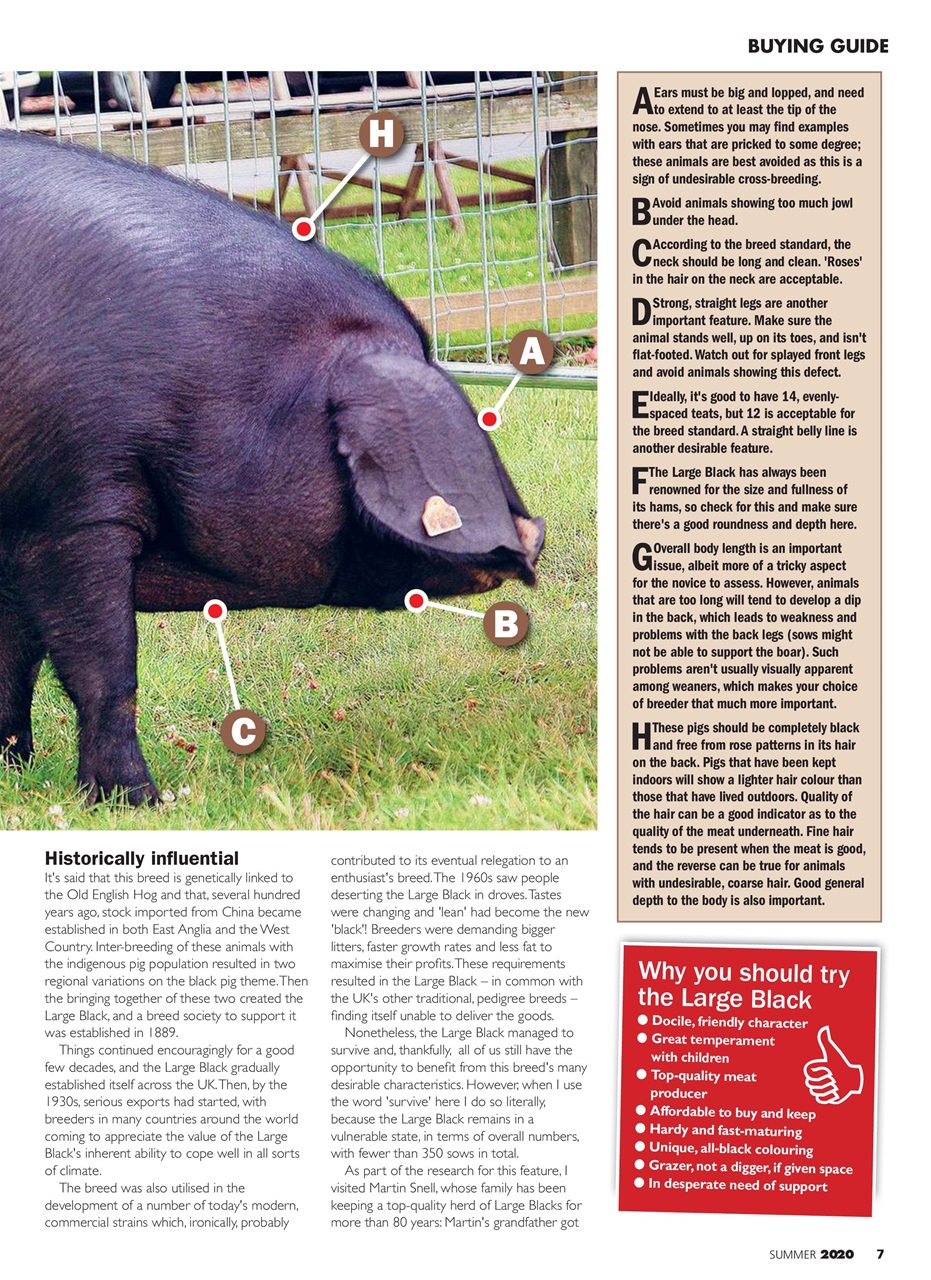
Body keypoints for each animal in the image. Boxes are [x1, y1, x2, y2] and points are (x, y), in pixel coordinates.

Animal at [0, 130, 544, 804]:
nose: (533, 535)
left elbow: (13, 660)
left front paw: (15, 772)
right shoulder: (70, 512)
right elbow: (106, 671)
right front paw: (139, 802)